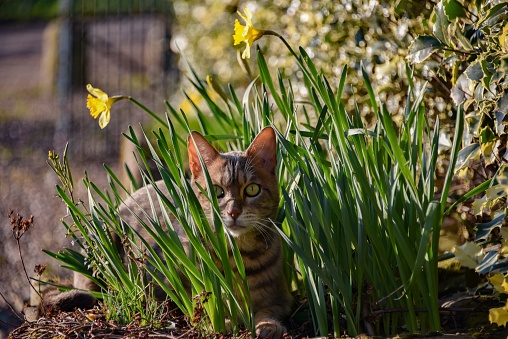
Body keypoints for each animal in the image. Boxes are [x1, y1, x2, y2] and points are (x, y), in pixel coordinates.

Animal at [41, 127, 292, 339]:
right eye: (217, 192)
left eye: (252, 189)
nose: (233, 212)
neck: (239, 255)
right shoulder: (173, 294)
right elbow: (199, 310)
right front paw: (225, 323)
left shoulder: (281, 298)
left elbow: (268, 312)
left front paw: (267, 326)